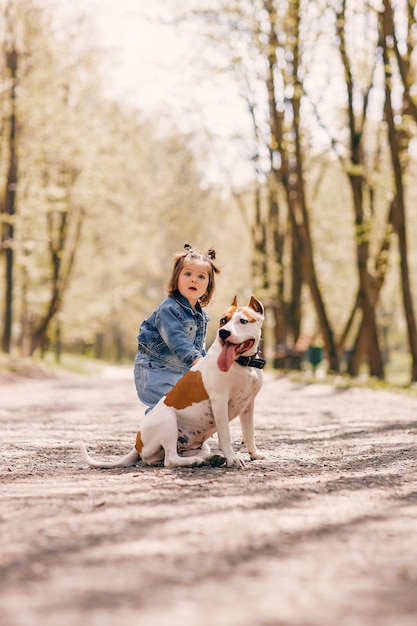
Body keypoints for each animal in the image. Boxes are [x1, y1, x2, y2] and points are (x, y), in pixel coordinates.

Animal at [79, 296, 264, 468]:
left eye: (243, 321)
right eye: (223, 320)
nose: (223, 333)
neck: (243, 364)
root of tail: (137, 444)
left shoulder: (249, 405)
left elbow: (249, 432)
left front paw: (254, 454)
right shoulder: (219, 402)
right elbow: (225, 435)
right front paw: (232, 459)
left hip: (195, 445)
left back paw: (211, 459)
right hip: (167, 422)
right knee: (170, 459)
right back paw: (196, 461)